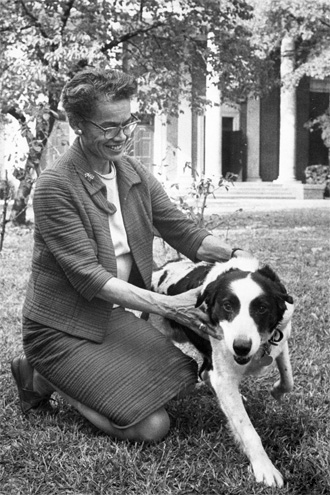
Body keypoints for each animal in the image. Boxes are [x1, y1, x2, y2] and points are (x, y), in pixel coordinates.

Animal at [152, 258, 294, 490]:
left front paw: (277, 391)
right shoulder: (224, 375)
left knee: (206, 374)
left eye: (262, 308)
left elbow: (288, 378)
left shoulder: (281, 338)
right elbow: (248, 430)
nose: (241, 347)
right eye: (227, 305)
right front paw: (264, 467)